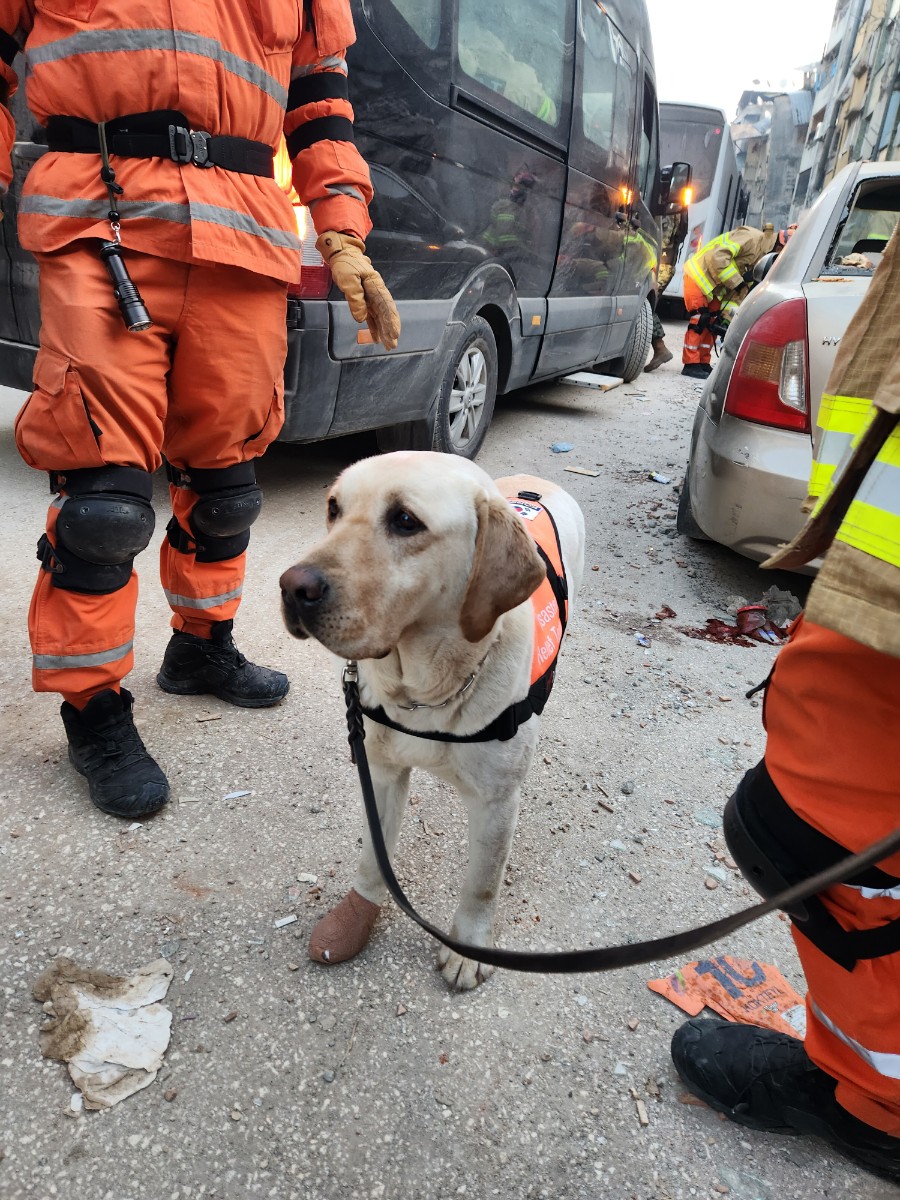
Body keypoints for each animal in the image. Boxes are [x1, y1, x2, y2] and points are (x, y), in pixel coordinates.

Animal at [285, 446, 588, 988]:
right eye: (334, 508)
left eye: (405, 521)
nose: (291, 585)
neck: (425, 690)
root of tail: (534, 485)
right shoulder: (381, 774)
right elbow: (374, 855)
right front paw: (357, 914)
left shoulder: (496, 803)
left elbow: (483, 884)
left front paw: (467, 948)